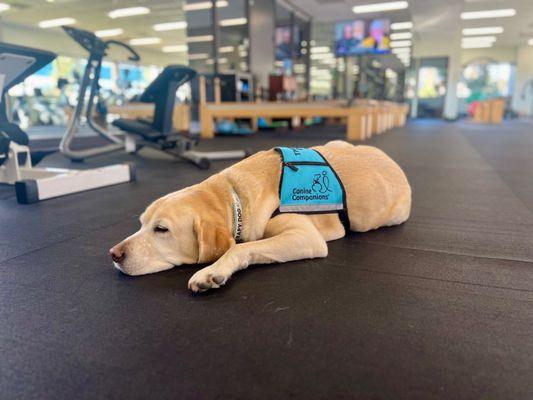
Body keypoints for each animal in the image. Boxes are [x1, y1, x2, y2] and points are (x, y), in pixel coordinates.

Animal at [109, 142, 412, 292]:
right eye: (141, 224)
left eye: (161, 229)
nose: (114, 254)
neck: (233, 195)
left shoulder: (306, 237)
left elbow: (239, 247)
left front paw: (212, 271)